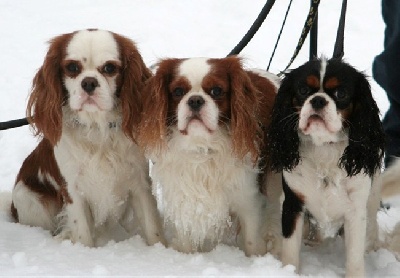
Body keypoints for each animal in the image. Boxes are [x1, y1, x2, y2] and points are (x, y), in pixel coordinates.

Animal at [10, 29, 165, 248]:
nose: (89, 82)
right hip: (29, 198)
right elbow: (82, 232)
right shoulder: (73, 190)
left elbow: (152, 228)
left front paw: (161, 250)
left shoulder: (139, 183)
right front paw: (84, 253)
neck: (97, 128)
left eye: (109, 68)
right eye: (72, 67)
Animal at [138, 56, 282, 256]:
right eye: (178, 91)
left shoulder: (250, 200)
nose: (195, 100)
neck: (203, 147)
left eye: (216, 91)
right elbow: (186, 238)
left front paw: (255, 259)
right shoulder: (183, 196)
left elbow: (252, 241)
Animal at [266, 56, 384, 276]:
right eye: (303, 90)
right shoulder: (293, 203)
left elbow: (354, 256)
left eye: (341, 93)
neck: (324, 148)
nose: (318, 100)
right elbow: (290, 249)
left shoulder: (356, 211)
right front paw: (289, 271)